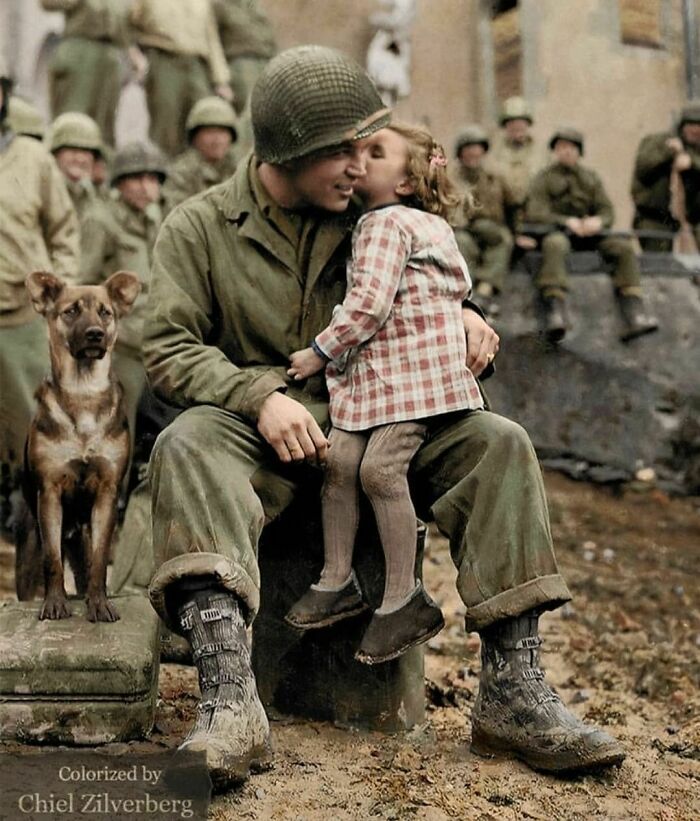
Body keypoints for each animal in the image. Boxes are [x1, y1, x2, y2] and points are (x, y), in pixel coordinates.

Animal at [15, 270, 141, 620]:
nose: (95, 334)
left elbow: (99, 561)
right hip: (29, 549)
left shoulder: (107, 493)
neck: (83, 393)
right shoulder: (50, 493)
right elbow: (52, 561)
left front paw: (99, 605)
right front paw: (55, 603)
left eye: (105, 312)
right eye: (70, 311)